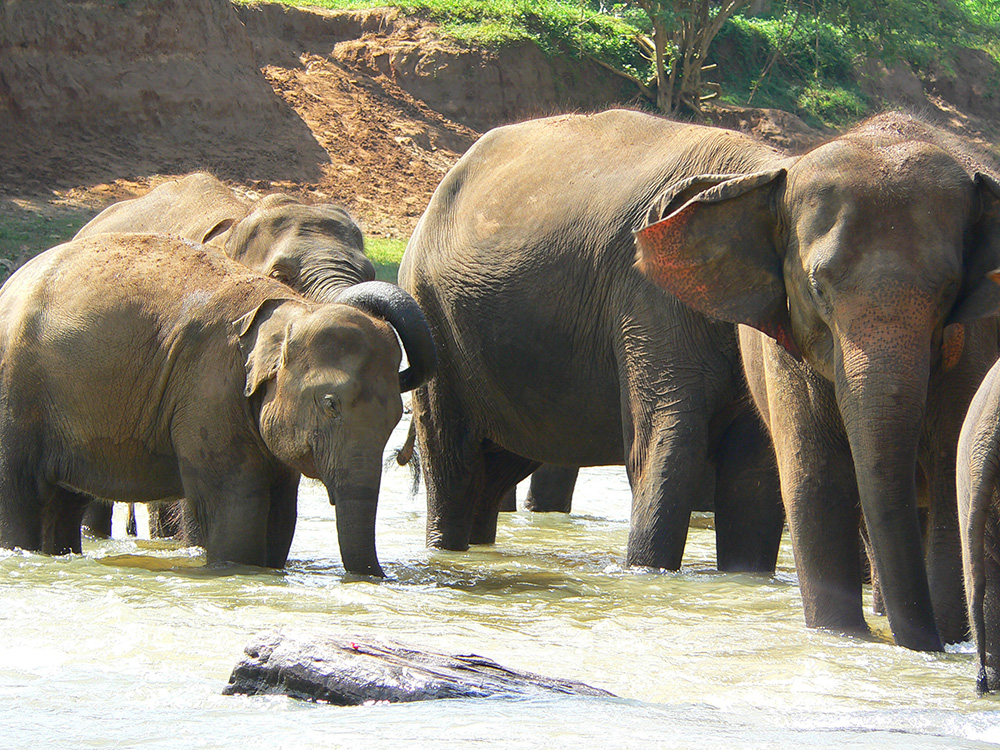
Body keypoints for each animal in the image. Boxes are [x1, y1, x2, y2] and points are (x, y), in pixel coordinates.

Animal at [0, 232, 438, 572]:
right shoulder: (207, 389)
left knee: (64, 503)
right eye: (330, 404)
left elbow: (282, 517)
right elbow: (238, 508)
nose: (379, 576)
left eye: (394, 418)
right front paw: (235, 570)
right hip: (15, 396)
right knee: (19, 497)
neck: (288, 308)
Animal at [398, 104, 788, 576]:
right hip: (433, 319)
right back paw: (446, 550)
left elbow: (754, 476)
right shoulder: (648, 297)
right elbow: (667, 445)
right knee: (452, 459)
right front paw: (645, 576)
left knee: (497, 467)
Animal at [632, 111, 1000, 652]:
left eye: (949, 289)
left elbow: (949, 476)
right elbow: (815, 481)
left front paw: (946, 639)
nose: (926, 645)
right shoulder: (786, 349)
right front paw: (842, 637)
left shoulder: (974, 343)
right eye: (817, 287)